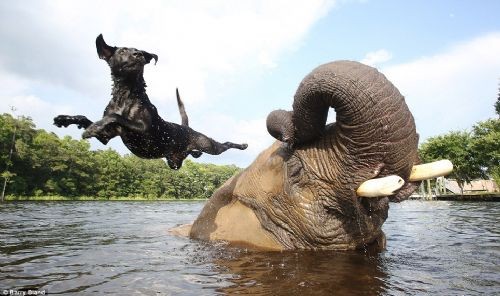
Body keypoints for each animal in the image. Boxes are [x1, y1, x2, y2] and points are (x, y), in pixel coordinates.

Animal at [54, 34, 248, 169]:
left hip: (207, 144)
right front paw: (66, 120)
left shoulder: (143, 128)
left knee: (224, 144)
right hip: (174, 161)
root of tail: (185, 128)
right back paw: (196, 154)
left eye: (138, 50)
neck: (125, 95)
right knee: (191, 156)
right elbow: (88, 118)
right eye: (122, 51)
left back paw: (241, 145)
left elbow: (115, 117)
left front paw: (92, 127)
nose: (138, 54)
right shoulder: (106, 137)